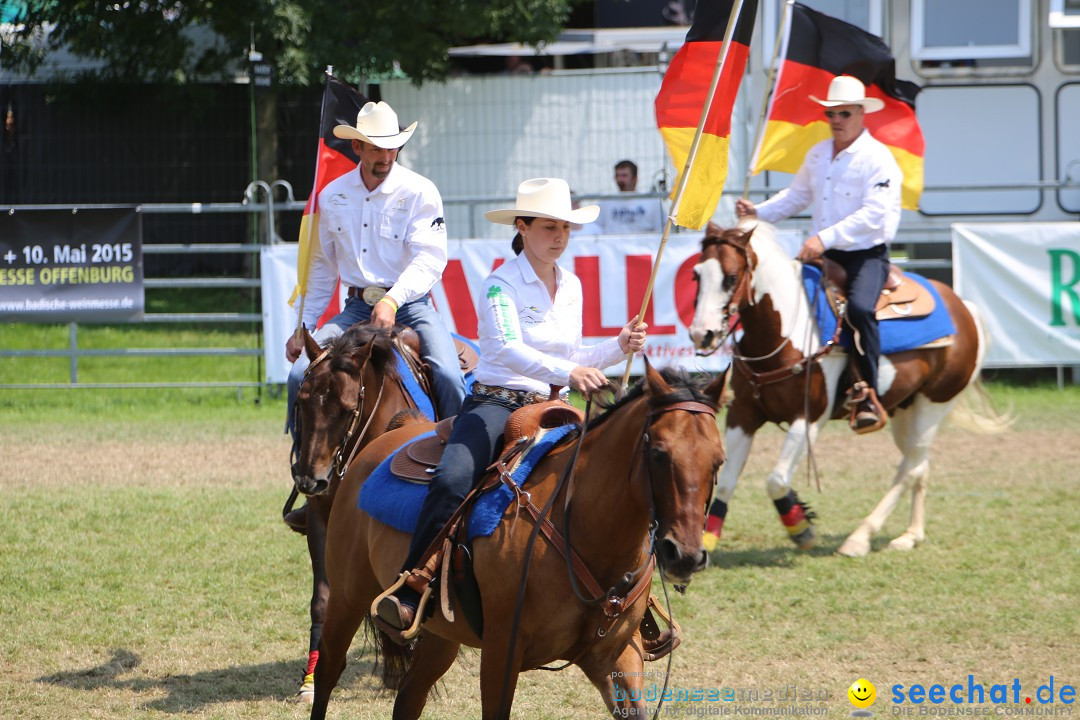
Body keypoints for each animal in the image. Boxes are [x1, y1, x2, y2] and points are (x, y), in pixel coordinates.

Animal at [308, 362, 725, 716]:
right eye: (658, 453)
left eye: (718, 460)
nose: (685, 555)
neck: (581, 530)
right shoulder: (501, 654)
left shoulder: (617, 656)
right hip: (348, 596)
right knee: (330, 670)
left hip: (441, 634)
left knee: (410, 698)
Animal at [686, 220, 1006, 557]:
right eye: (696, 274)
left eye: (732, 277)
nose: (701, 333)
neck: (785, 331)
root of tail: (964, 307)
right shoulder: (743, 415)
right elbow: (727, 480)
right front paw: (707, 539)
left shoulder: (809, 418)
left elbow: (776, 479)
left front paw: (801, 527)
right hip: (905, 408)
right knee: (919, 464)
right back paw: (910, 535)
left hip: (934, 404)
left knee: (911, 468)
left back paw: (860, 537)